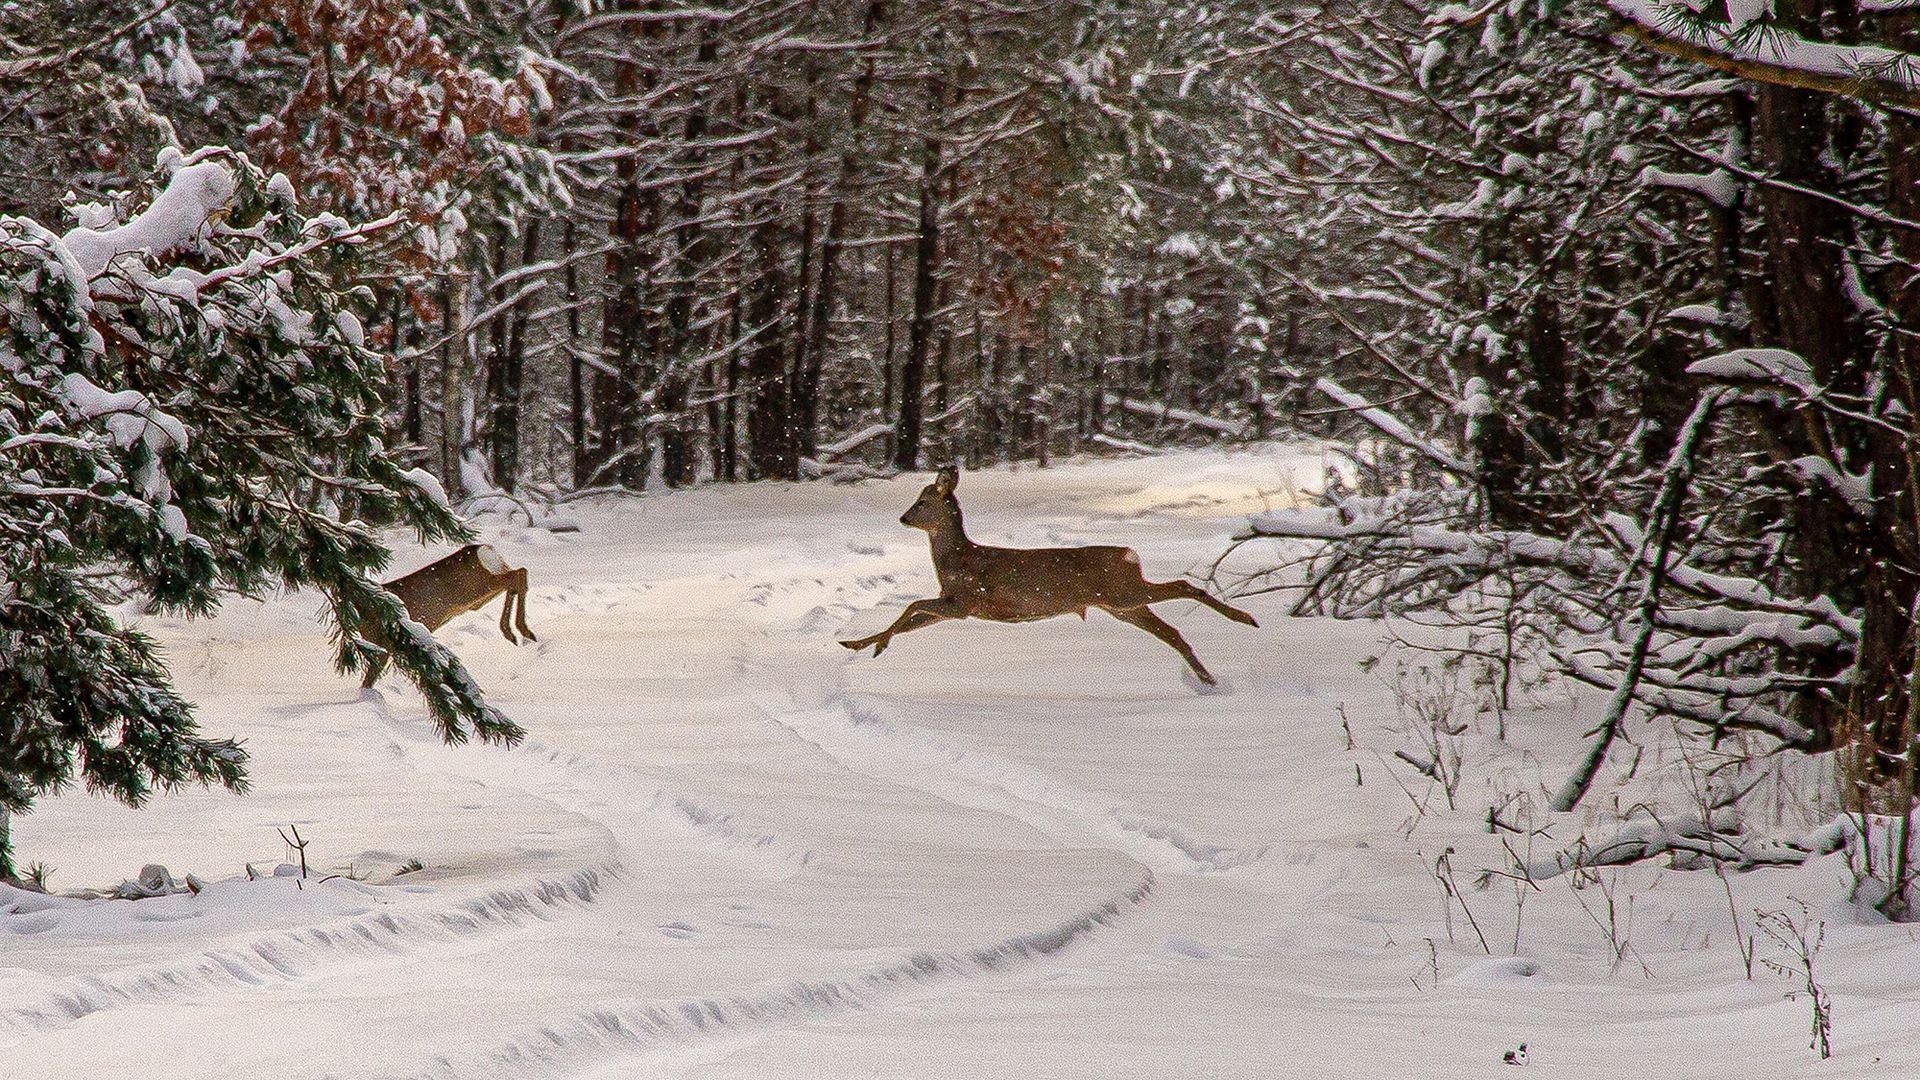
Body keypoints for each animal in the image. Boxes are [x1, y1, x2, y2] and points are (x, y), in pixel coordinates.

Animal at [358, 543, 535, 687]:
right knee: (517, 577)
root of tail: (484, 549)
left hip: (475, 588)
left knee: (518, 575)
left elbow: (369, 679)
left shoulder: (382, 643)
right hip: (481, 595)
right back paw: (515, 633)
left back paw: (521, 631)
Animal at [839, 466, 1257, 685]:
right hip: (1122, 605)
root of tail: (1129, 554)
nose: (903, 517)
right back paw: (1208, 678)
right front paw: (856, 644)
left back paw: (1245, 619)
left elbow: (911, 606)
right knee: (1171, 630)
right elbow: (910, 619)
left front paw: (875, 646)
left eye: (923, 502)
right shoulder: (956, 604)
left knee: (1184, 586)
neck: (957, 561)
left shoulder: (965, 601)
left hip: (1123, 594)